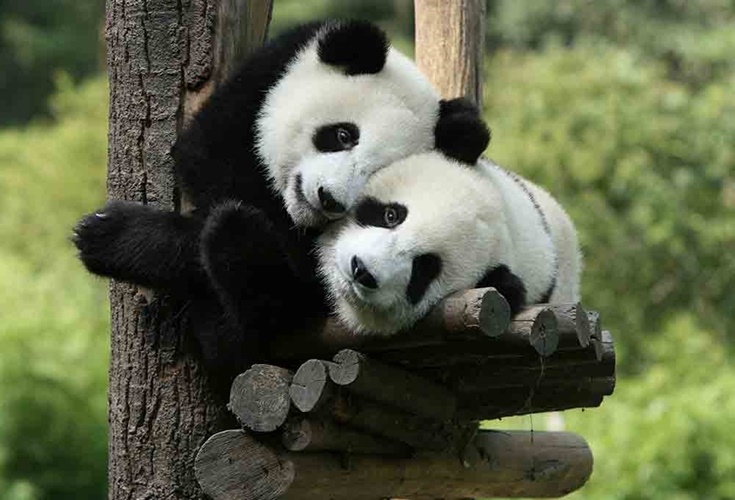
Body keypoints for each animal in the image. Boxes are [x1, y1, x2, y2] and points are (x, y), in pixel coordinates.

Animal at [72, 20, 490, 390]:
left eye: (375, 173)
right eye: (343, 135)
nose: (329, 199)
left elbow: (294, 279)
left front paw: (109, 235)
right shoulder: (259, 85)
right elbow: (205, 159)